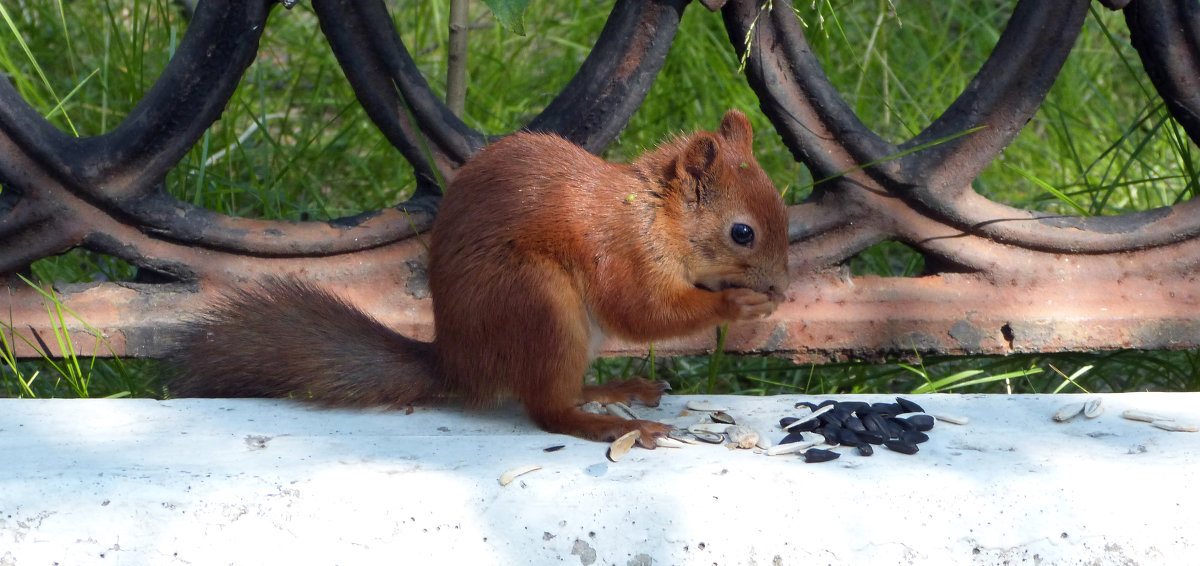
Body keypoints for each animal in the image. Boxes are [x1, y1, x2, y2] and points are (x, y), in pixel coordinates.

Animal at [169, 109, 787, 446]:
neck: (654, 216)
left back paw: (611, 390)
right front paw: (737, 305)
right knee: (547, 410)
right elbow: (641, 312)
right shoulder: (621, 253)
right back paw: (605, 425)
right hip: (538, 304)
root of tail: (458, 362)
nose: (781, 289)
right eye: (742, 233)